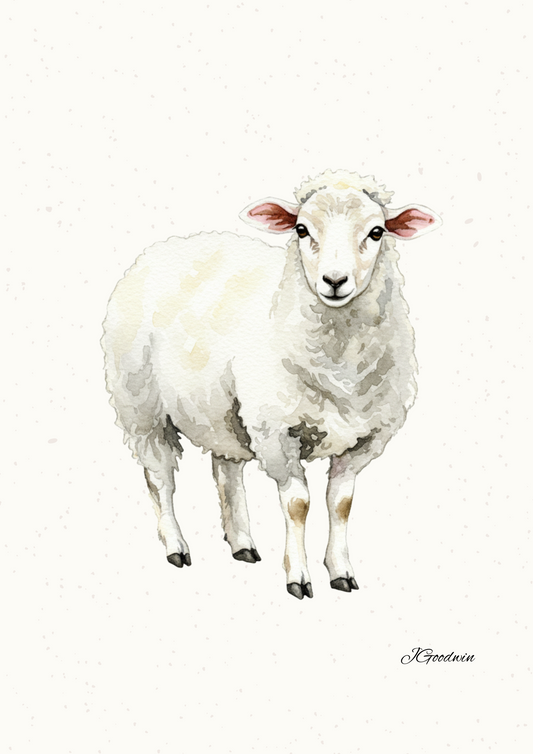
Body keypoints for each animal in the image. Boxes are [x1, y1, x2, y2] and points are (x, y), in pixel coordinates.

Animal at [102, 169, 441, 599]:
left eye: (377, 232)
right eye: (301, 229)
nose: (334, 281)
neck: (342, 367)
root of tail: (170, 244)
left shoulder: (366, 438)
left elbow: (340, 503)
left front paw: (341, 572)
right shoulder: (277, 432)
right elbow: (298, 504)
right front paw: (299, 577)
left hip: (221, 409)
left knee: (225, 472)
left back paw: (243, 544)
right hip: (140, 405)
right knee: (159, 476)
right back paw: (176, 546)